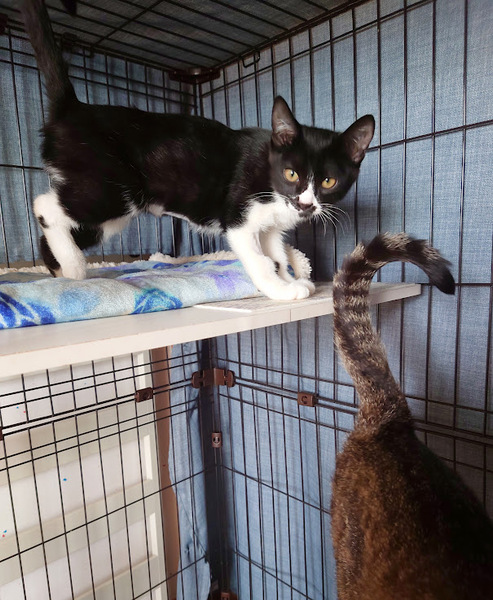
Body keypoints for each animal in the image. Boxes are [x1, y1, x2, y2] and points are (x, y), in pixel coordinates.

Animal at [21, 0, 375, 301]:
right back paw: (74, 265)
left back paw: (60, 270)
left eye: (328, 181)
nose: (305, 204)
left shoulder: (272, 226)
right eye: (291, 173)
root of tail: (72, 109)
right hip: (110, 188)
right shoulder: (239, 216)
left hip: (108, 212)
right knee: (45, 206)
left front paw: (290, 279)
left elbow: (276, 252)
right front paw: (278, 289)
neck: (273, 185)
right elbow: (259, 259)